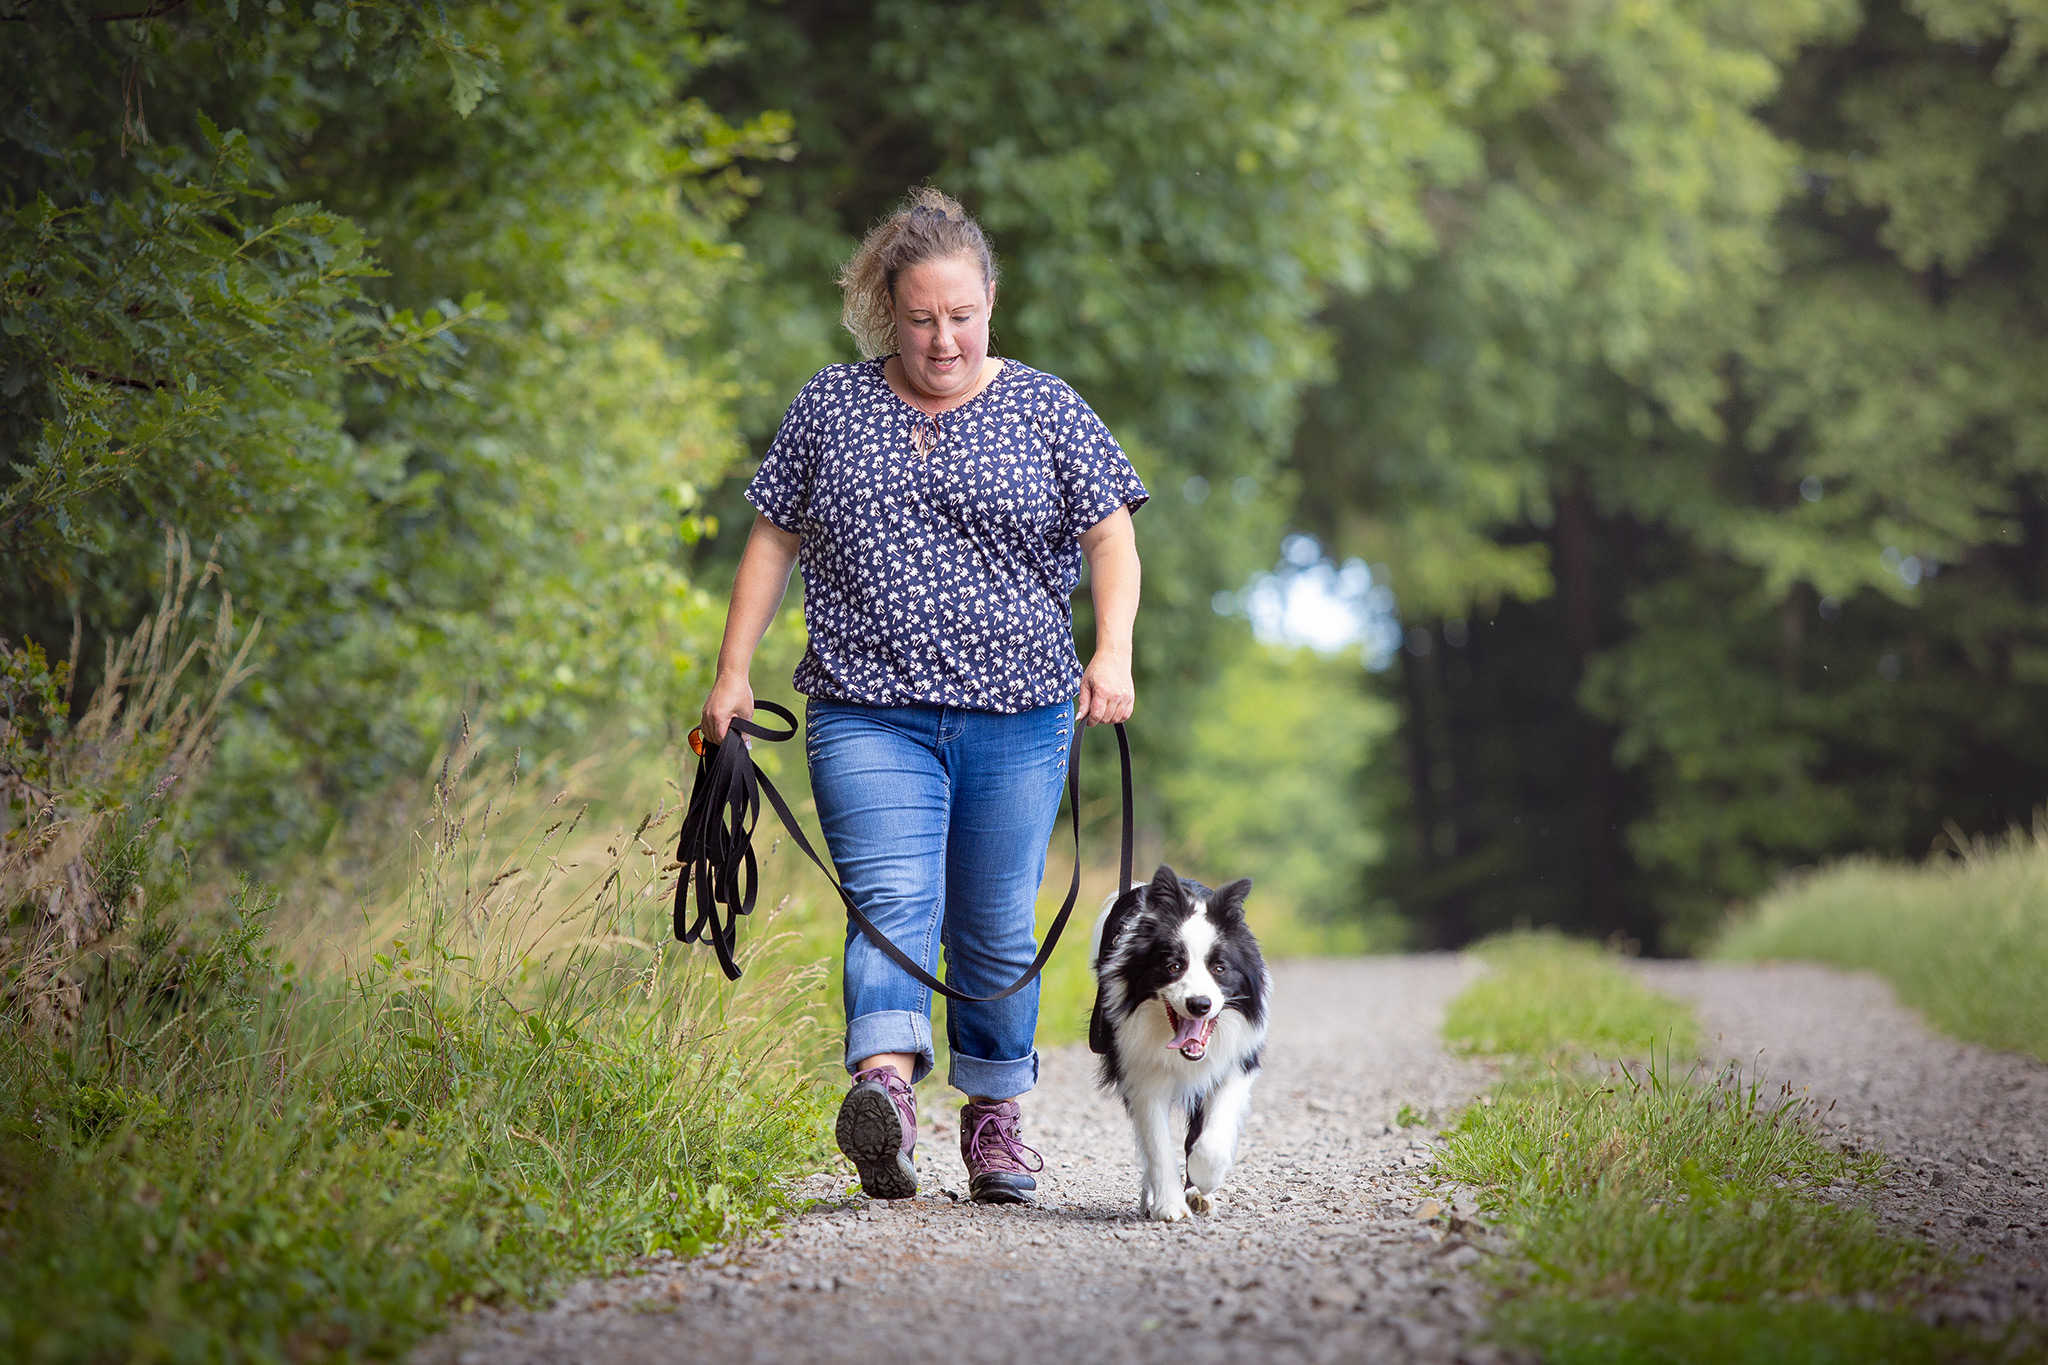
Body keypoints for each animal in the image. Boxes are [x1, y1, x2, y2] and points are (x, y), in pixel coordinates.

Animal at [1089, 863, 1261, 1227]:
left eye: (1219, 968)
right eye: (1173, 966)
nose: (1199, 1004)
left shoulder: (1235, 1064)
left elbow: (1210, 1140)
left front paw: (1202, 1184)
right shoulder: (1140, 1072)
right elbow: (1156, 1144)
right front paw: (1168, 1204)